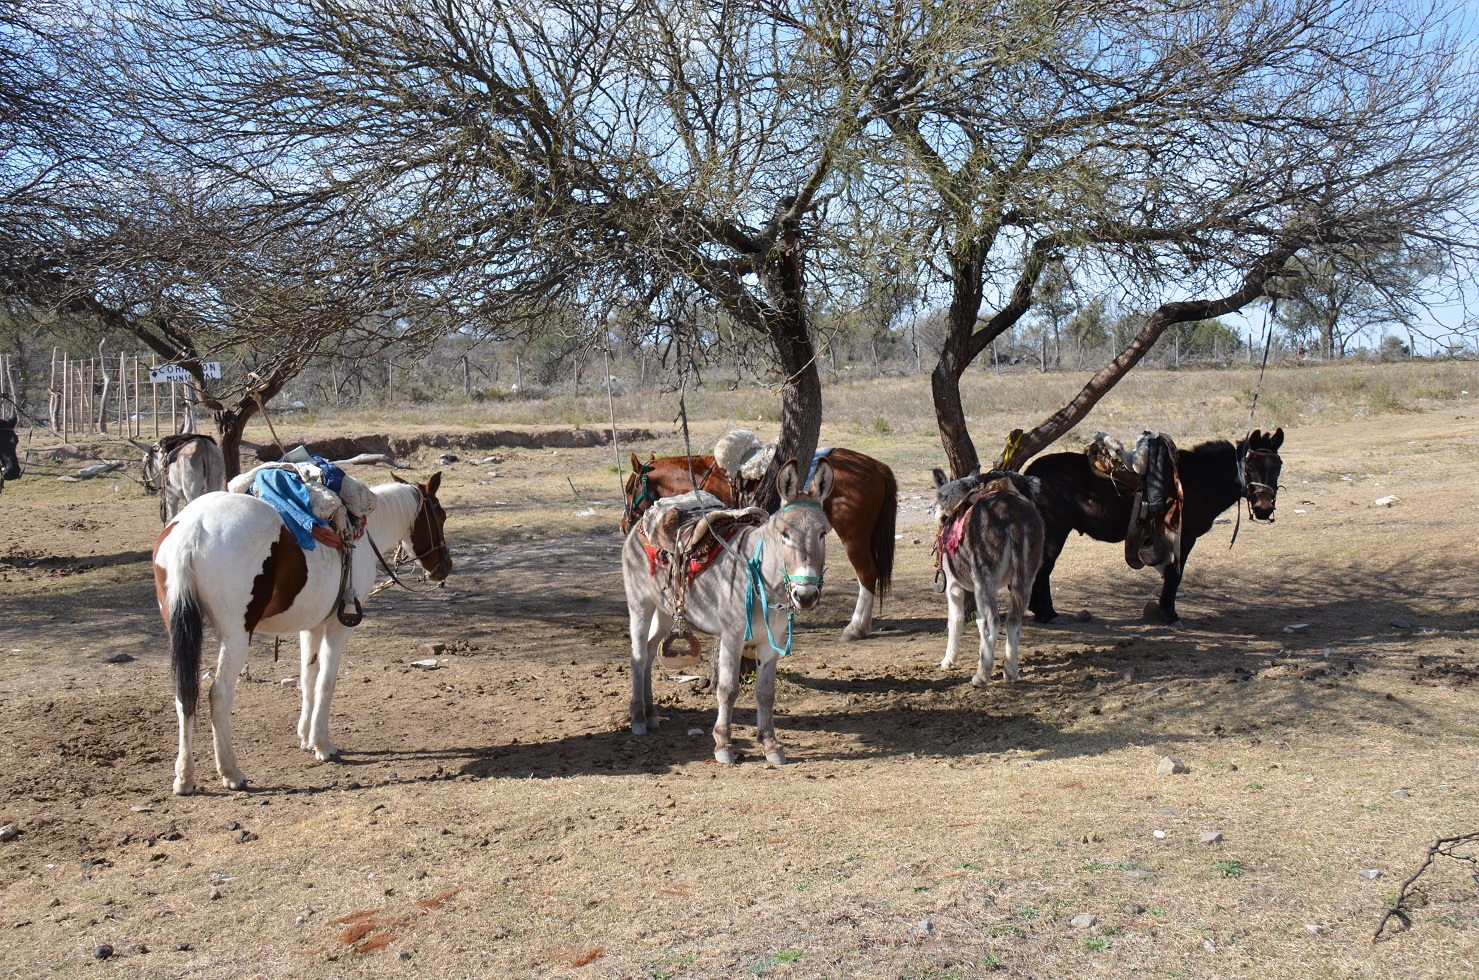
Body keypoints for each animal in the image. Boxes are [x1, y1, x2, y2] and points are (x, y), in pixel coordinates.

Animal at [150, 475, 452, 798]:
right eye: (441, 516)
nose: (445, 567)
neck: (362, 534)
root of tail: (192, 529)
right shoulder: (339, 625)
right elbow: (326, 682)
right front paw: (322, 745)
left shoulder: (312, 625)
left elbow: (308, 678)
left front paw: (306, 737)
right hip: (235, 636)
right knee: (218, 694)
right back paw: (231, 772)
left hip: (180, 633)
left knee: (184, 694)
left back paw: (184, 777)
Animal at [618, 449, 893, 641]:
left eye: (630, 488)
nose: (623, 523)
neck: (711, 478)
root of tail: (876, 465)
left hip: (854, 537)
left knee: (867, 573)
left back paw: (855, 627)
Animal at [621, 461, 834, 768]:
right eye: (785, 534)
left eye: (823, 534)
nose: (805, 596)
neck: (761, 579)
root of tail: (638, 525)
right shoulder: (732, 637)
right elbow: (728, 689)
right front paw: (723, 744)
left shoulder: (772, 642)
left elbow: (765, 692)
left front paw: (770, 745)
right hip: (641, 605)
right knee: (637, 656)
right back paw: (638, 718)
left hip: (665, 610)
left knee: (649, 652)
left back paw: (650, 714)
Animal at [928, 470, 1047, 685]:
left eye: (940, 498)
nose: (941, 517)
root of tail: (1014, 516)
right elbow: (978, 621)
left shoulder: (954, 586)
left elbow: (956, 620)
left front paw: (948, 661)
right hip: (1026, 577)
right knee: (1014, 620)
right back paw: (1010, 671)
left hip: (985, 578)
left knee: (992, 621)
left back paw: (981, 676)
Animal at [1029, 425, 1283, 623]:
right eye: (1250, 467)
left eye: (1278, 466)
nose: (1263, 508)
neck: (1201, 479)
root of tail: (1032, 472)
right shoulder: (1183, 538)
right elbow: (1174, 575)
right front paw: (1169, 615)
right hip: (1055, 531)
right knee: (1044, 567)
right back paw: (1048, 613)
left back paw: (1039, 611)